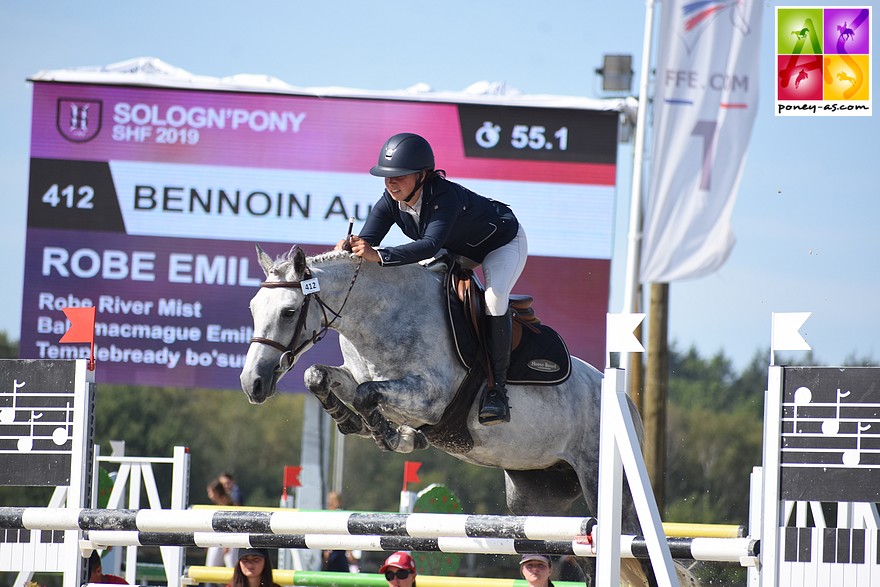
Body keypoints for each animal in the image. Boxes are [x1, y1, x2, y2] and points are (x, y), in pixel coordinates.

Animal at [241, 246, 688, 584]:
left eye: (288, 311)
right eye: (253, 307)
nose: (252, 383)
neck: (380, 316)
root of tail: (623, 400)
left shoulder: (429, 398)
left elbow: (371, 396)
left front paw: (395, 435)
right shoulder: (356, 377)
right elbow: (320, 376)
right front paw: (356, 423)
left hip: (606, 484)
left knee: (638, 549)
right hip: (536, 498)